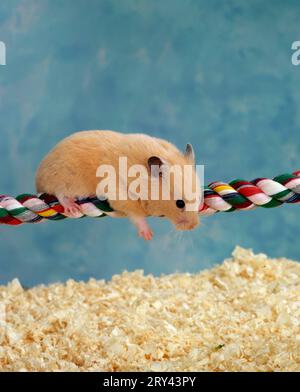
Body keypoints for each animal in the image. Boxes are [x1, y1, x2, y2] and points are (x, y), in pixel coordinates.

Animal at [36, 131, 200, 239]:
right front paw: (148, 235)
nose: (194, 226)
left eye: (198, 199)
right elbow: (137, 217)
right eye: (179, 203)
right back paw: (72, 208)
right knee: (60, 194)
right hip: (63, 178)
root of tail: (38, 179)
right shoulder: (120, 196)